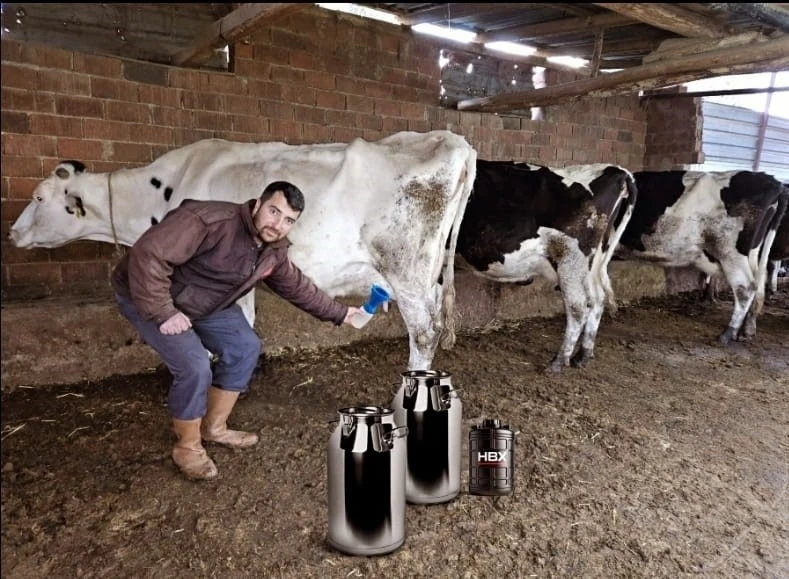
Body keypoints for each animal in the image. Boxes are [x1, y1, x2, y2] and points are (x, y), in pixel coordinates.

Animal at [456, 161, 636, 374]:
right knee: (597, 300)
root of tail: (616, 170)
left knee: (578, 308)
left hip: (570, 260)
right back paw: (582, 356)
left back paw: (559, 362)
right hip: (591, 263)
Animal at [620, 171, 784, 344]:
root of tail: (772, 181)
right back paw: (748, 330)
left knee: (745, 287)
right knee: (759, 287)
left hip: (729, 251)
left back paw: (728, 333)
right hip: (752, 254)